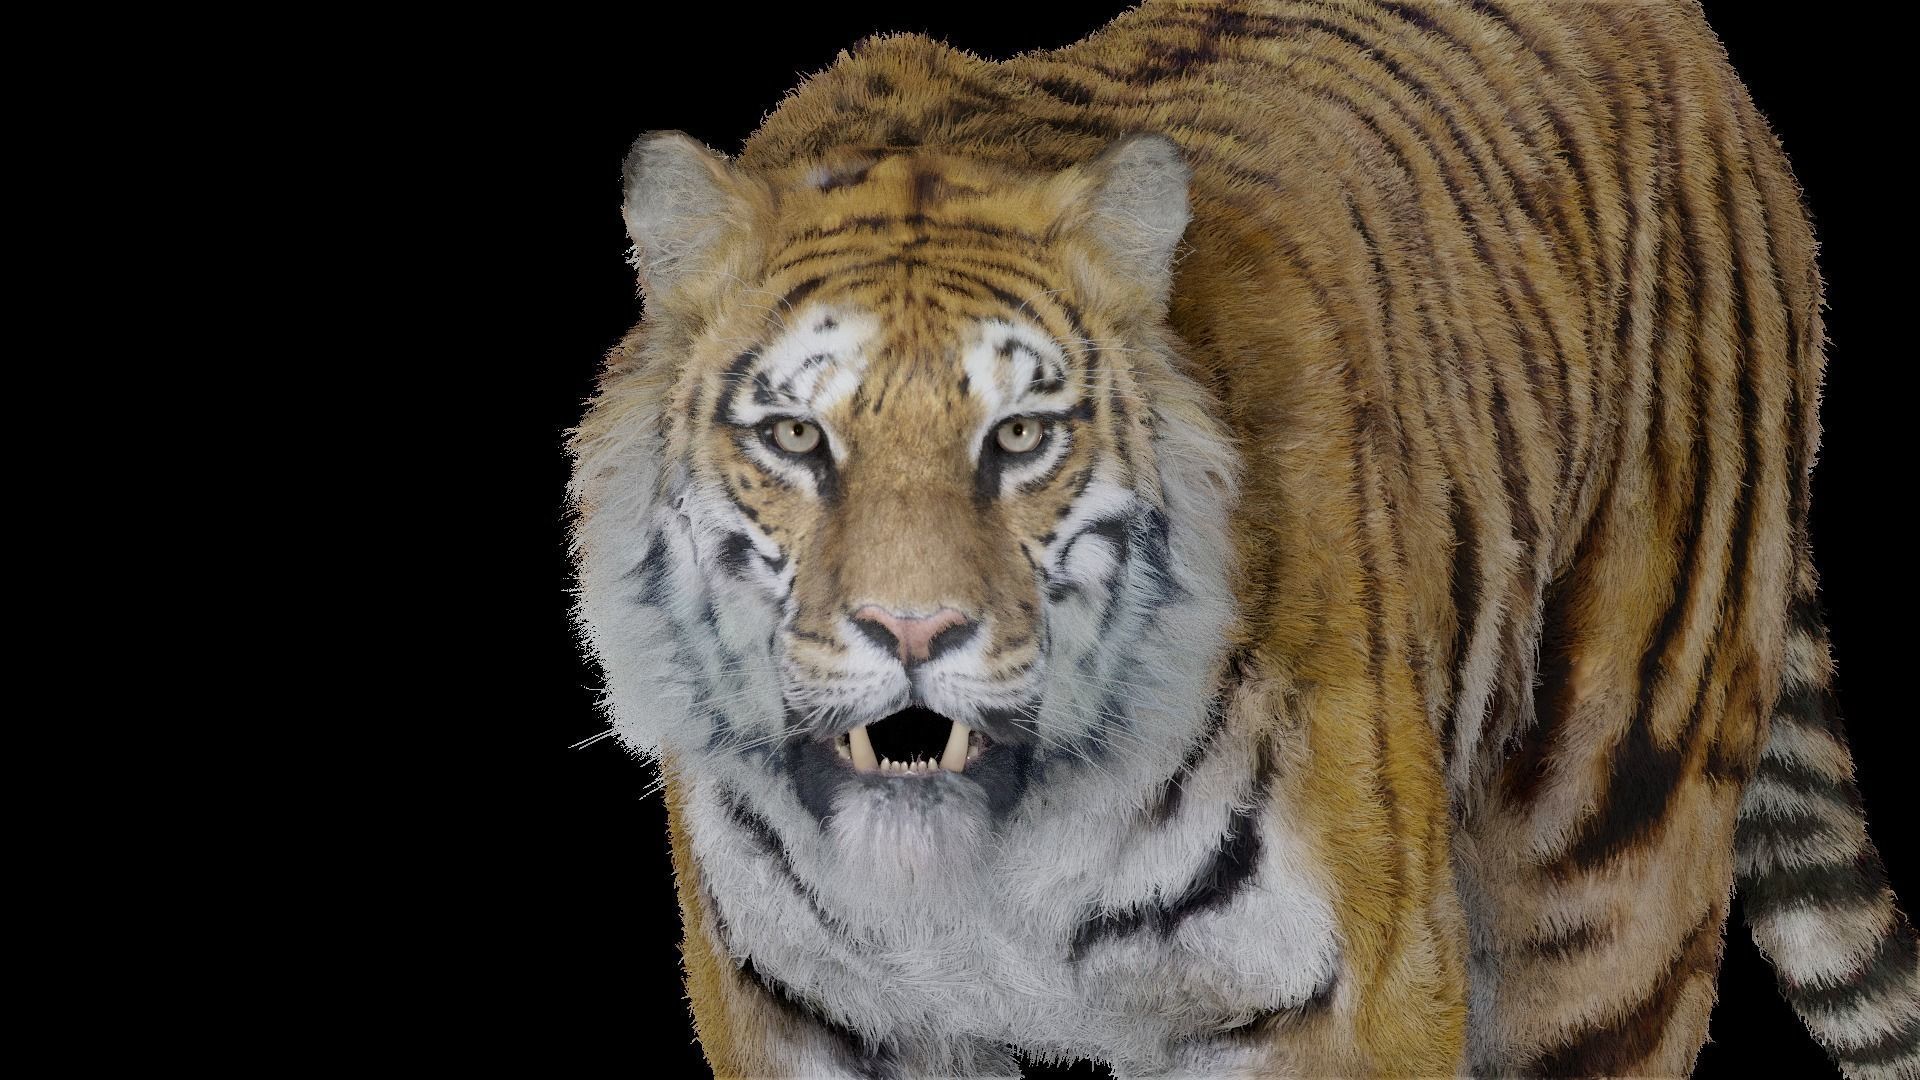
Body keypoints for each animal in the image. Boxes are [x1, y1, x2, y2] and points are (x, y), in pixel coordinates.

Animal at [566, 1, 1920, 1076]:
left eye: (1019, 437)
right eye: (798, 436)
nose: (914, 630)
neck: (986, 862)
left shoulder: (1351, 997)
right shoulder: (807, 1010)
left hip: (1607, 877)